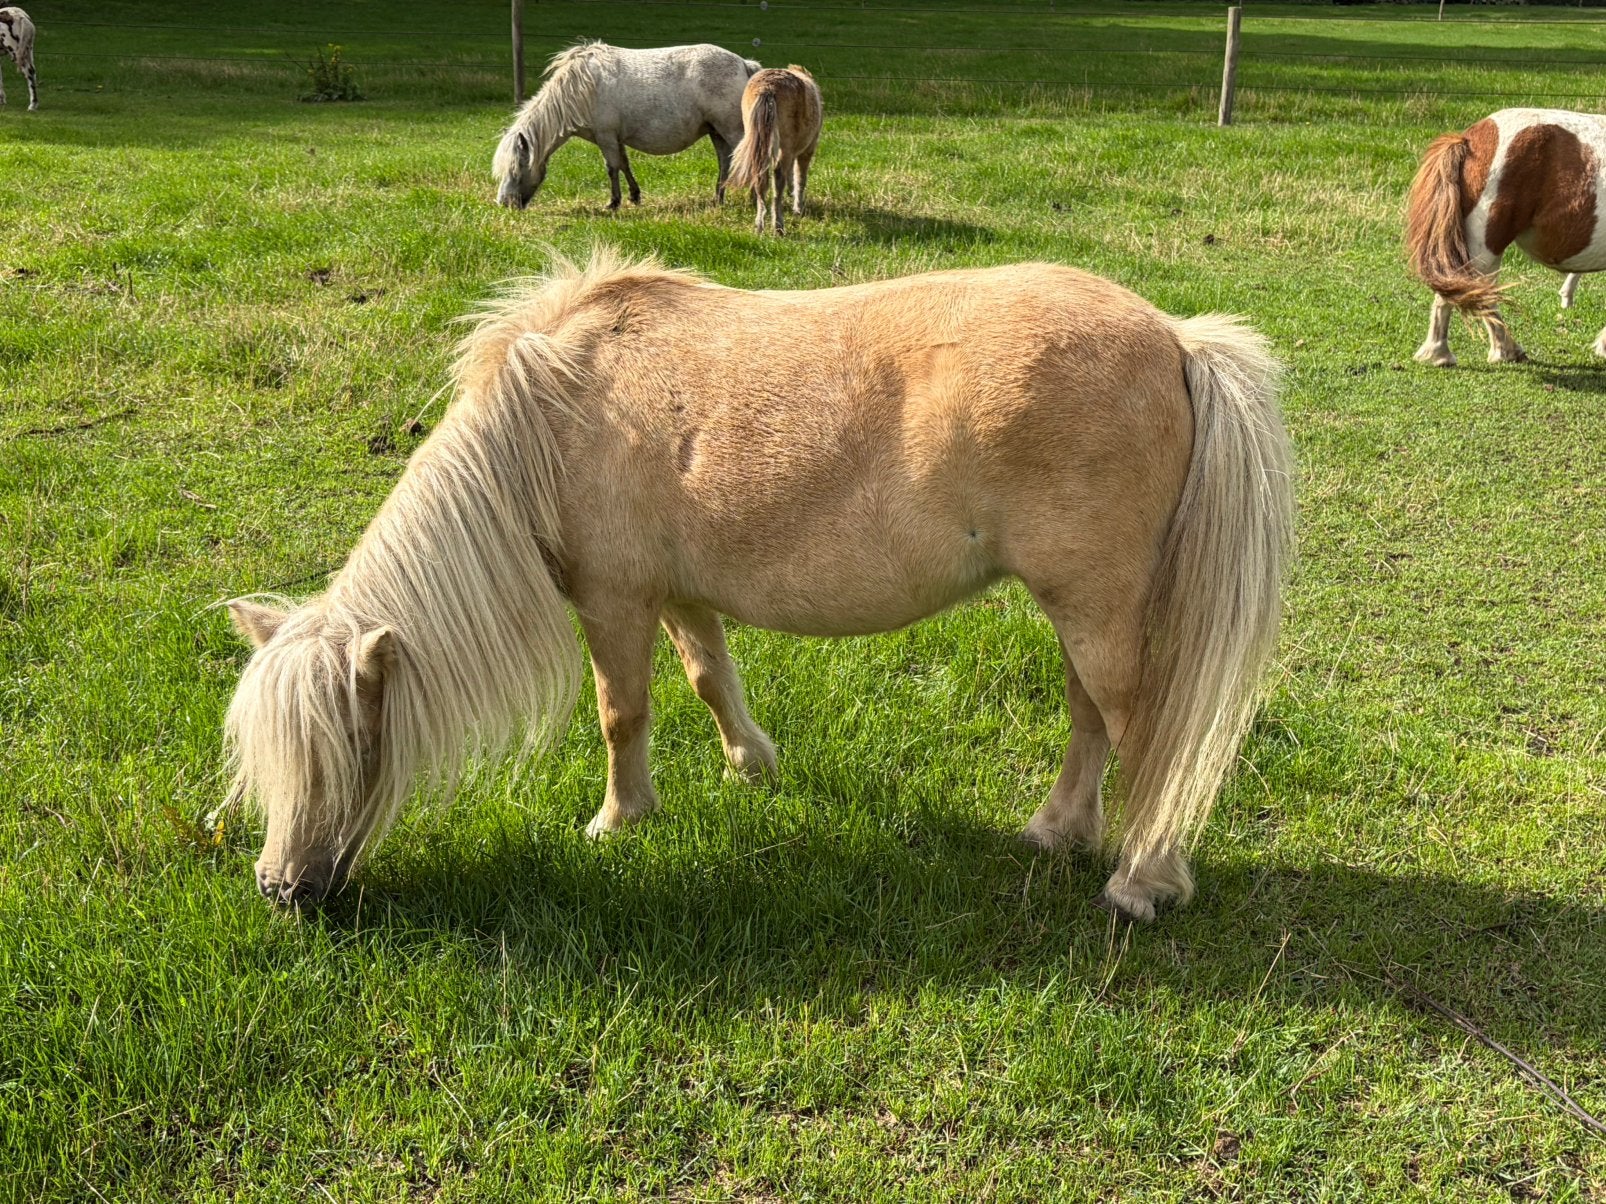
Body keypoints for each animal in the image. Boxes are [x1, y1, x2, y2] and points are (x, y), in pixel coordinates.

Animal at [221, 250, 1294, 924]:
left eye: (343, 753)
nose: (280, 890)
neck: (548, 419)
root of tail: (1176, 339)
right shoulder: (681, 592)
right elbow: (710, 679)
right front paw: (752, 766)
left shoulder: (615, 599)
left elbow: (622, 713)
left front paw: (619, 820)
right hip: (1080, 608)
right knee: (1091, 719)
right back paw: (1054, 833)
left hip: (1096, 605)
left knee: (1138, 725)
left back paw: (1139, 881)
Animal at [493, 41, 760, 211]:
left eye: (516, 169)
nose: (504, 203)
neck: (580, 90)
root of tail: (743, 64)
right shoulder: (615, 139)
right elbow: (624, 164)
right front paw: (634, 196)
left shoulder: (606, 137)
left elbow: (612, 168)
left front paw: (614, 202)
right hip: (717, 132)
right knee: (725, 163)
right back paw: (718, 199)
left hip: (731, 131)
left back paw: (753, 200)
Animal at [727, 65, 822, 235]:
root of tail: (768, 88)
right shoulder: (807, 151)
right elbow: (800, 179)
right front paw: (798, 208)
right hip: (786, 148)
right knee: (778, 181)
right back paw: (778, 226)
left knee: (761, 179)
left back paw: (759, 226)